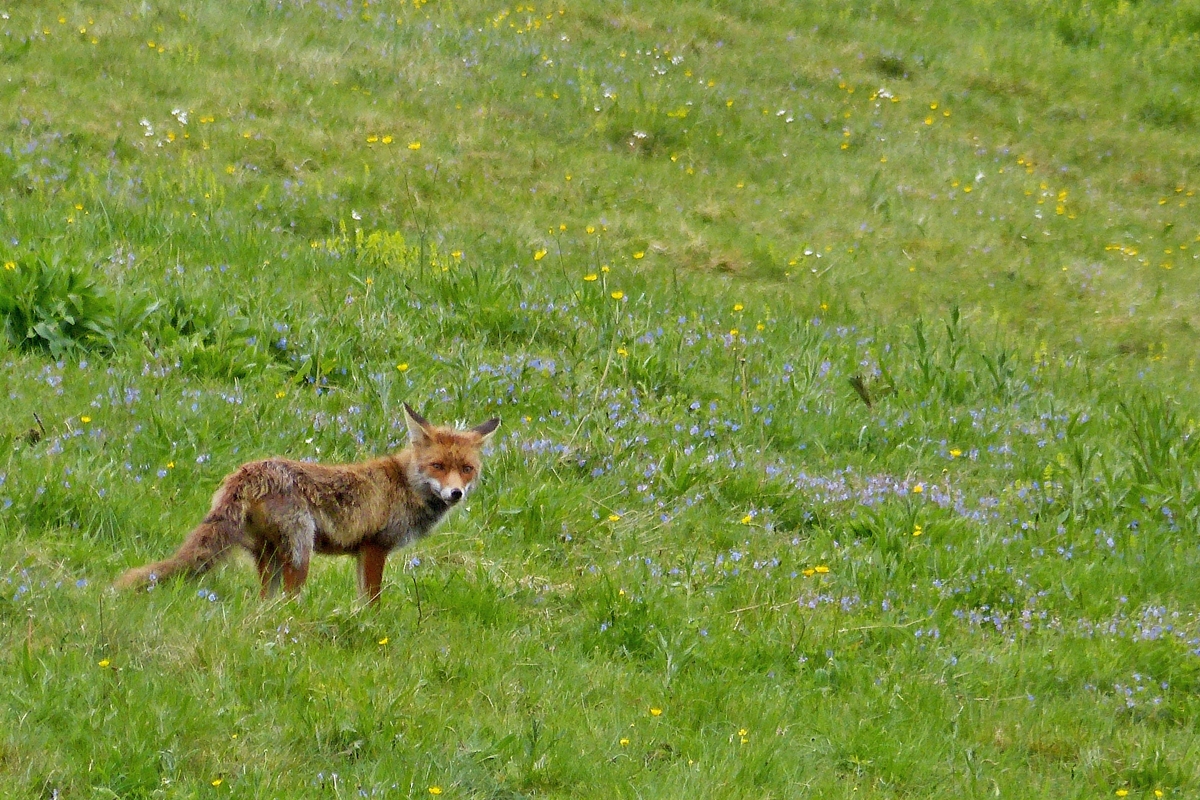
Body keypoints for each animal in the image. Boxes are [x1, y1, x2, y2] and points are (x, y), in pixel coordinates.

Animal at [114, 402, 499, 604]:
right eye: (438, 466)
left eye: (466, 469)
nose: (455, 493)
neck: (404, 485)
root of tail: (247, 472)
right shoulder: (374, 547)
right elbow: (371, 601)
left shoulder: (362, 553)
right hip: (301, 551)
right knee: (288, 600)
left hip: (269, 555)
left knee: (265, 602)